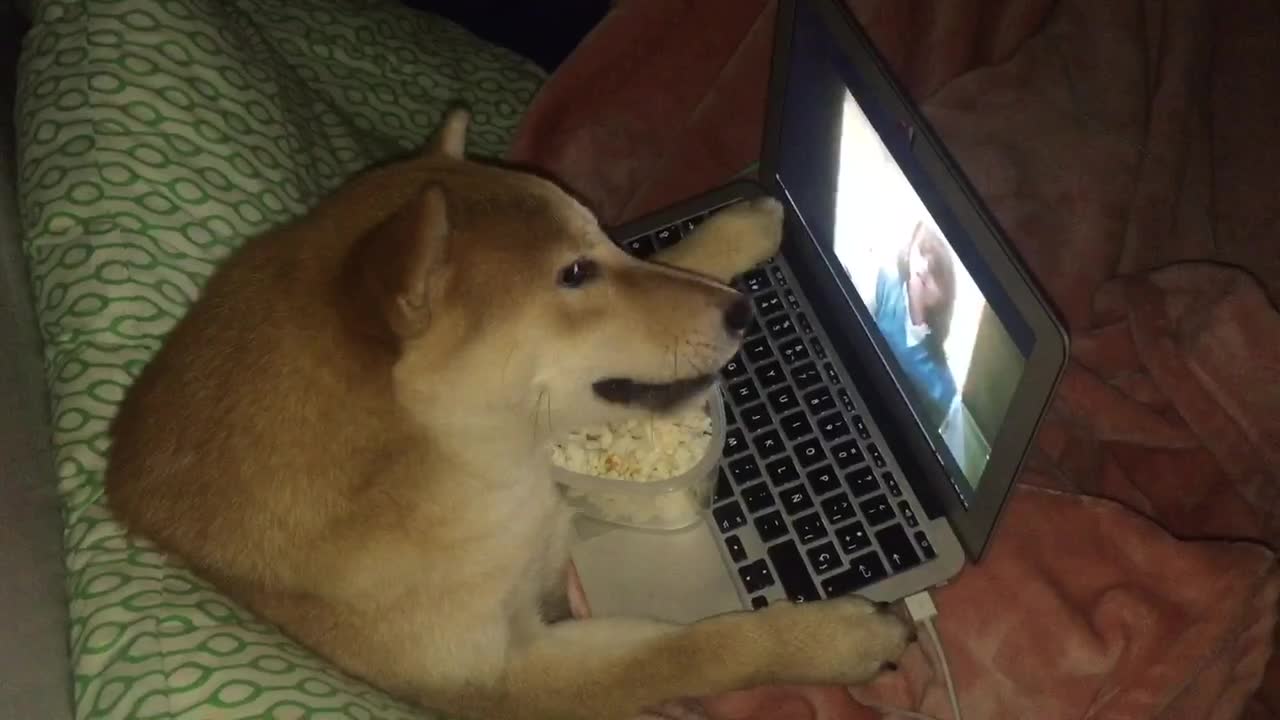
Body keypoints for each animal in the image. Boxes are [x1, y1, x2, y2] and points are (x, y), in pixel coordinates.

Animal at [107, 107, 911, 717]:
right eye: (575, 274)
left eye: (599, 242)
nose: (742, 312)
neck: (480, 474)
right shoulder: (512, 676)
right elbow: (692, 651)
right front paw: (835, 643)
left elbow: (674, 259)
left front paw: (735, 231)